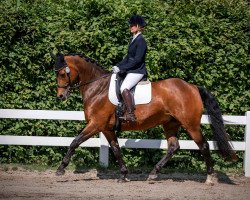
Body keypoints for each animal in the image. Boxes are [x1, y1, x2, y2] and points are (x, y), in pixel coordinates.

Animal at [52, 52, 236, 184]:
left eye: (62, 73)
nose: (61, 96)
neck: (98, 88)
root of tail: (192, 87)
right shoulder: (107, 128)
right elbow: (116, 149)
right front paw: (124, 175)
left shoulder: (95, 124)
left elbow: (74, 142)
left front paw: (60, 169)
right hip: (170, 124)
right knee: (173, 146)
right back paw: (153, 174)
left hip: (190, 124)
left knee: (203, 145)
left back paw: (210, 178)